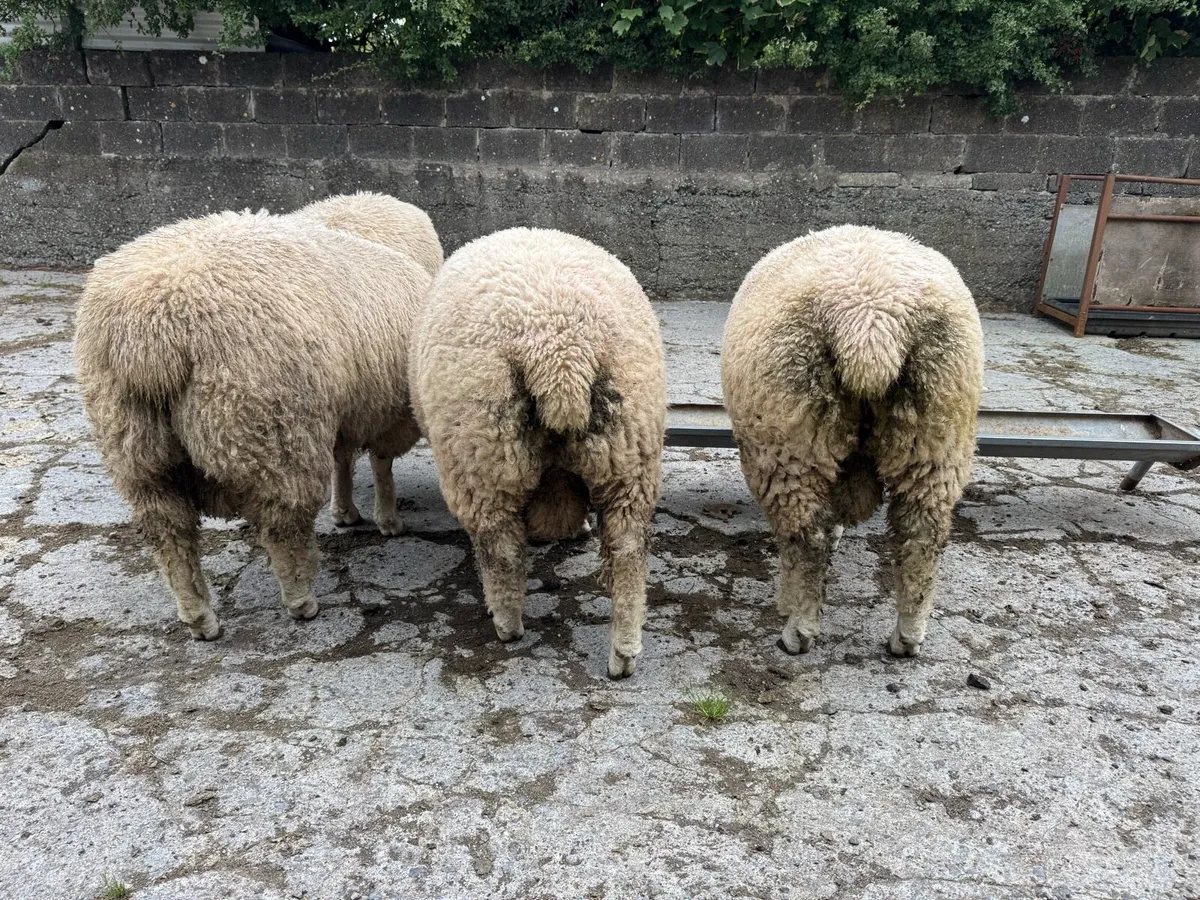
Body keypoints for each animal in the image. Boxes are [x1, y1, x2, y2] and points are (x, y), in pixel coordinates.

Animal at [75, 210, 432, 639]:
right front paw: (387, 519)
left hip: (134, 445)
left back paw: (199, 617)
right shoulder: (387, 415)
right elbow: (380, 465)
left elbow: (343, 459)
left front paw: (346, 511)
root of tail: (153, 332)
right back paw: (300, 600)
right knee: (283, 526)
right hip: (275, 431)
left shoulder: (347, 408)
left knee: (170, 535)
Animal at [409, 227, 666, 679]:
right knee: (628, 554)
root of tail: (561, 353)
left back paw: (506, 624)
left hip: (484, 456)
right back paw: (623, 654)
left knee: (501, 550)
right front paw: (579, 527)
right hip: (628, 450)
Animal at [721, 225, 983, 658]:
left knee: (807, 538)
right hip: (936, 429)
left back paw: (798, 629)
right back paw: (907, 636)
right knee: (921, 537)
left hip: (790, 434)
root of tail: (870, 322)